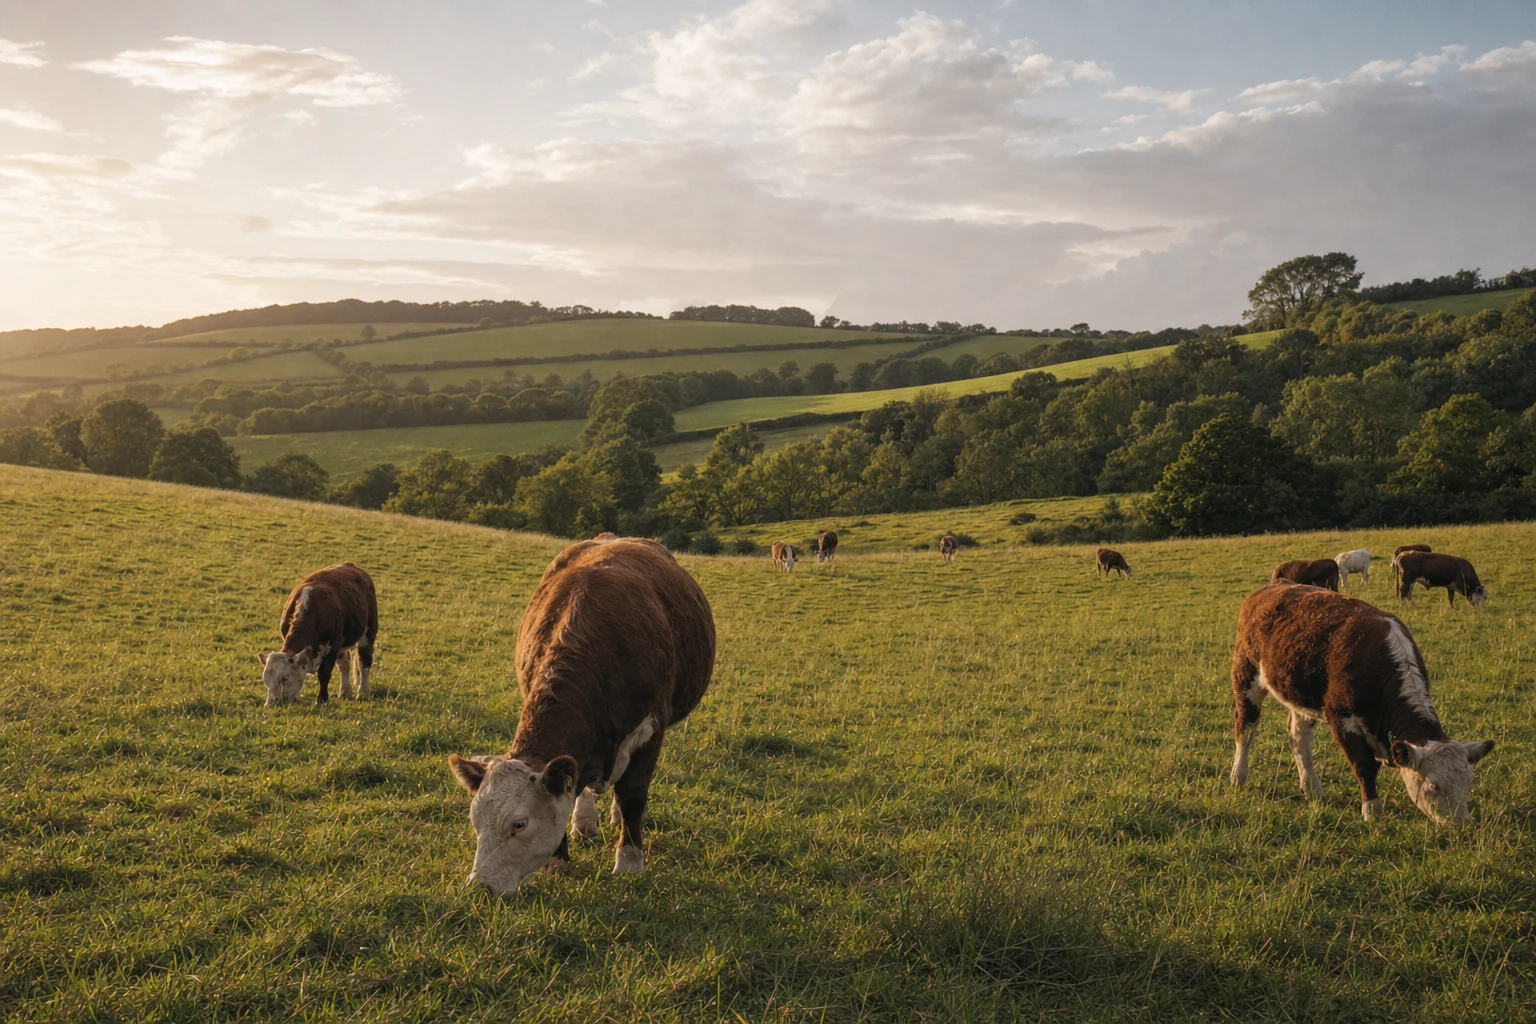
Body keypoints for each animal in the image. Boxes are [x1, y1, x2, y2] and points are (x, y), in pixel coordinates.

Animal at [258, 562, 377, 706]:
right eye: (266, 679)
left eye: (285, 678)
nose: (271, 703)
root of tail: (351, 565)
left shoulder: (333, 645)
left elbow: (324, 673)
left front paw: (322, 699)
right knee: (344, 662)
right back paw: (345, 692)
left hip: (369, 631)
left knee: (364, 660)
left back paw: (363, 693)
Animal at [447, 538, 715, 895]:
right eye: (475, 821)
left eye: (519, 824)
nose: (480, 887)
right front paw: (557, 860)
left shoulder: (651, 729)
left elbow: (632, 796)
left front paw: (629, 863)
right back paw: (585, 821)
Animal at [1229, 582, 1495, 823]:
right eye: (1435, 786)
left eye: (1468, 784)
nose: (1462, 824)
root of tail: (1272, 586)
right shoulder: (1341, 718)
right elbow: (1364, 766)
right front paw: (1372, 811)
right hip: (1246, 677)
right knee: (1246, 728)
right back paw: (1238, 776)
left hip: (1300, 696)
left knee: (1299, 737)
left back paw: (1312, 789)